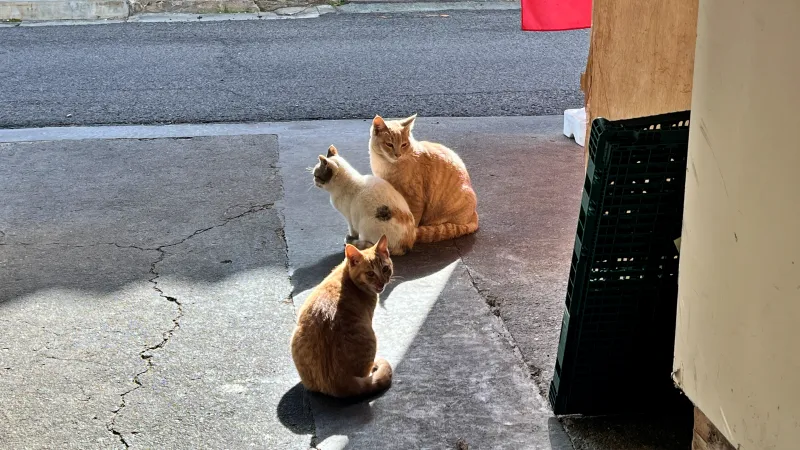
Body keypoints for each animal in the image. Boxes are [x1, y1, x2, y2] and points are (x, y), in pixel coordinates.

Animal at [292, 236, 396, 398]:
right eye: (370, 274)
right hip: (371, 337)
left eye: (385, 269)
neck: (346, 275)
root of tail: (338, 382)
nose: (382, 282)